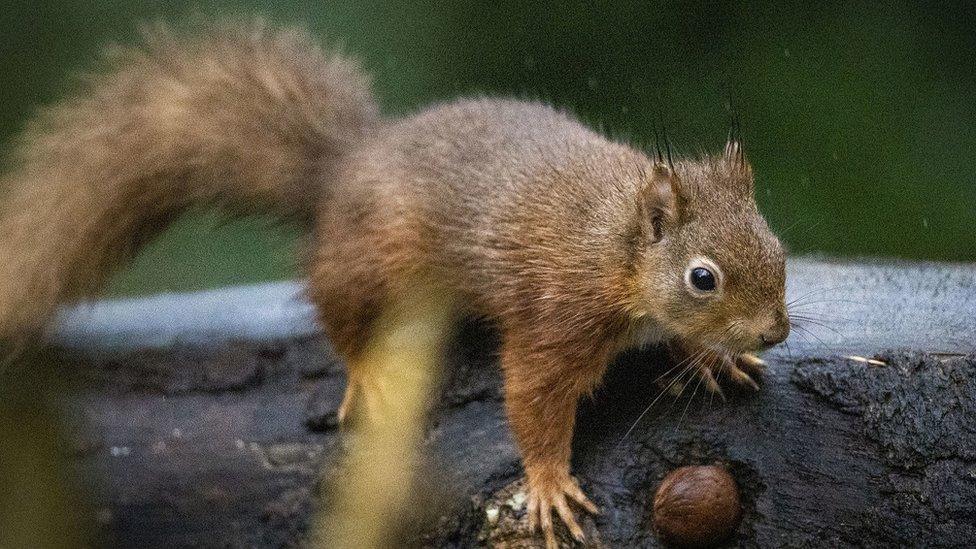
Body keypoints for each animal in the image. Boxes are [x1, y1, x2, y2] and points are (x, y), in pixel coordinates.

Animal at [0, 19, 792, 544]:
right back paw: (367, 370)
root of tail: (345, 168)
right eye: (702, 277)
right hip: (373, 258)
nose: (776, 330)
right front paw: (547, 484)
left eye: (777, 244)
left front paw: (714, 358)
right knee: (336, 305)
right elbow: (532, 398)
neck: (615, 250)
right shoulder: (556, 314)